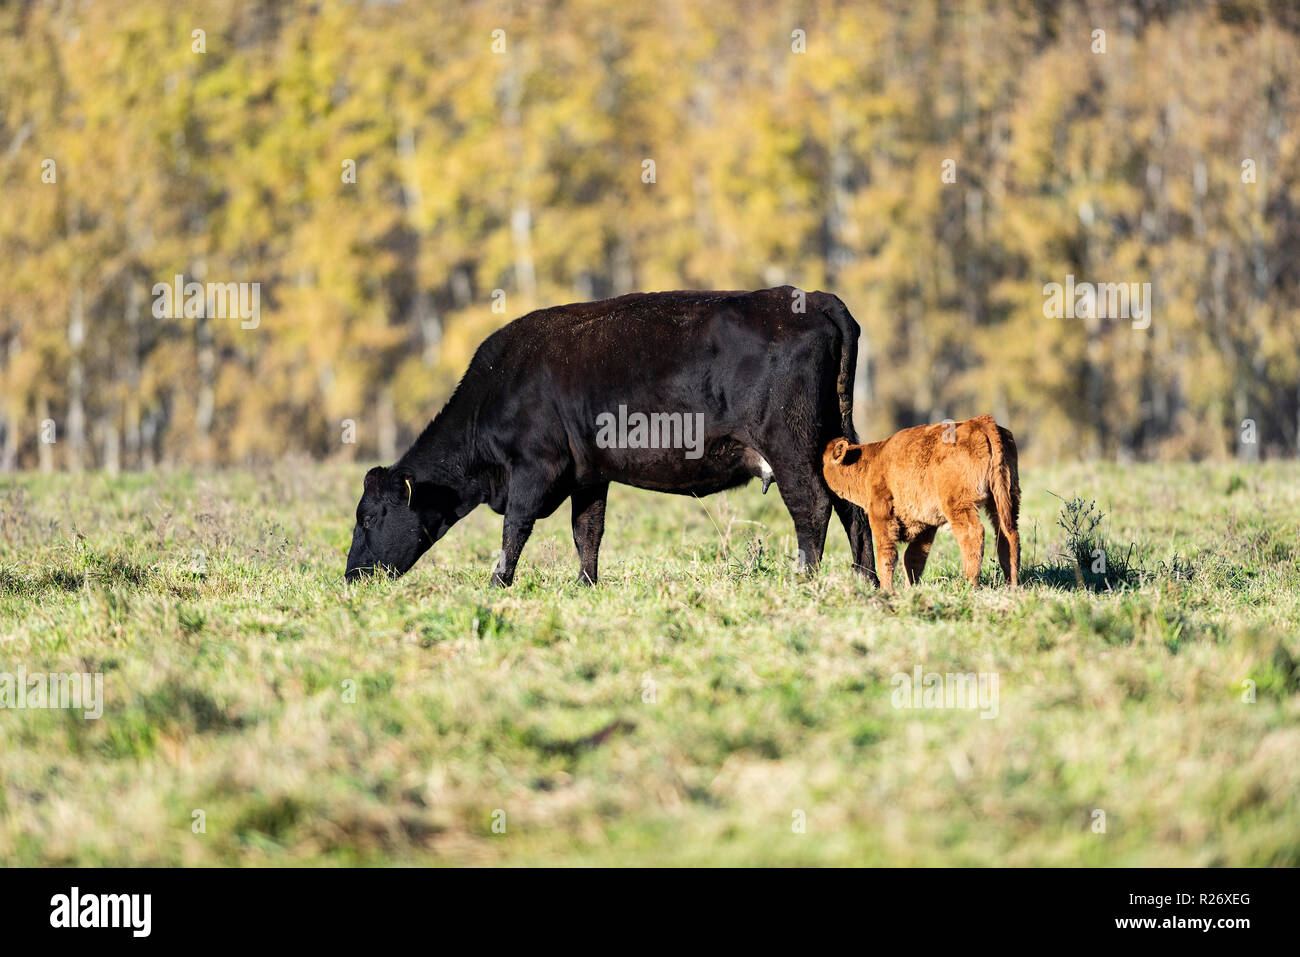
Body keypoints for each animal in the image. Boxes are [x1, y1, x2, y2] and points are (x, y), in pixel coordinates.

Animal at [345, 286, 873, 582]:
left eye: (369, 517)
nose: (351, 577)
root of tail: (815, 299)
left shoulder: (535, 466)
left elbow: (515, 528)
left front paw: (498, 584)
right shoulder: (588, 474)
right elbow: (587, 532)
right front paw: (587, 585)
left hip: (789, 443)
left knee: (812, 506)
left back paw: (806, 580)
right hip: (833, 437)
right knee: (852, 506)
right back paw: (867, 581)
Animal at [826, 413, 1019, 587]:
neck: (872, 462)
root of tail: (979, 421)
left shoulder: (880, 515)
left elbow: (887, 555)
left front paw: (887, 590)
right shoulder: (927, 524)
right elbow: (913, 558)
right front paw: (910, 589)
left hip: (959, 505)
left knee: (973, 534)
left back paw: (970, 585)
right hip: (1004, 499)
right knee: (1008, 535)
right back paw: (1012, 585)